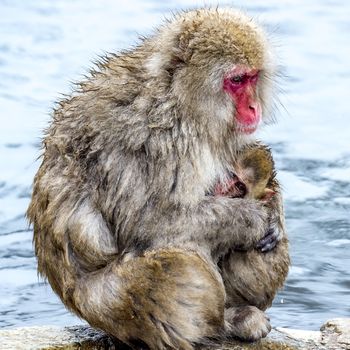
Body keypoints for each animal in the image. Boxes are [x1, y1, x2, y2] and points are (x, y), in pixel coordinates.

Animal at [27, 8, 290, 350]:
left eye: (253, 77)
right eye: (236, 80)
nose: (253, 108)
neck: (178, 97)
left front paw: (271, 208)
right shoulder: (157, 138)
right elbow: (153, 222)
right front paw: (252, 219)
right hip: (109, 308)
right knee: (178, 267)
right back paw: (225, 323)